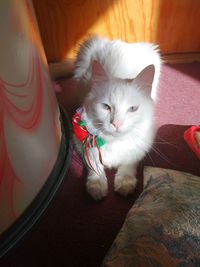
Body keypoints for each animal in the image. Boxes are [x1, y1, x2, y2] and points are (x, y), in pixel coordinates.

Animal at [73, 35, 161, 200]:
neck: (114, 141)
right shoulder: (84, 143)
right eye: (106, 107)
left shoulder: (139, 147)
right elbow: (94, 165)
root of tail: (120, 42)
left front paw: (125, 183)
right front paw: (97, 186)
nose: (116, 124)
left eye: (132, 109)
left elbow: (128, 162)